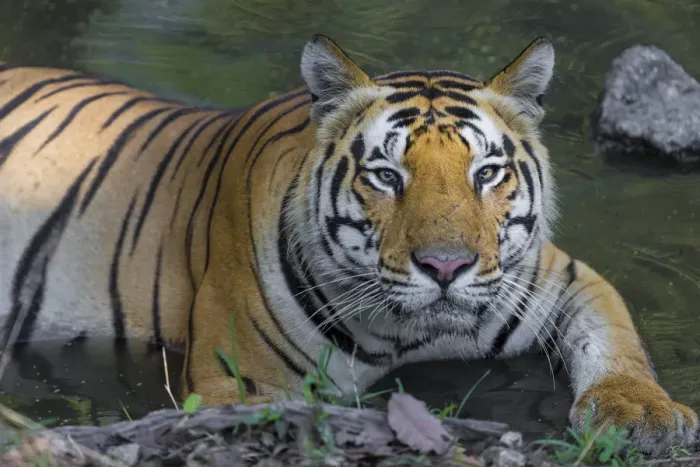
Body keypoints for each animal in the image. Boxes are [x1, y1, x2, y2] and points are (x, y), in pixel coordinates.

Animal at [0, 34, 696, 454]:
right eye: (387, 176)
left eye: (487, 173)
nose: (446, 266)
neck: (411, 336)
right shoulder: (240, 382)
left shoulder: (563, 276)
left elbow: (617, 342)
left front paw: (643, 415)